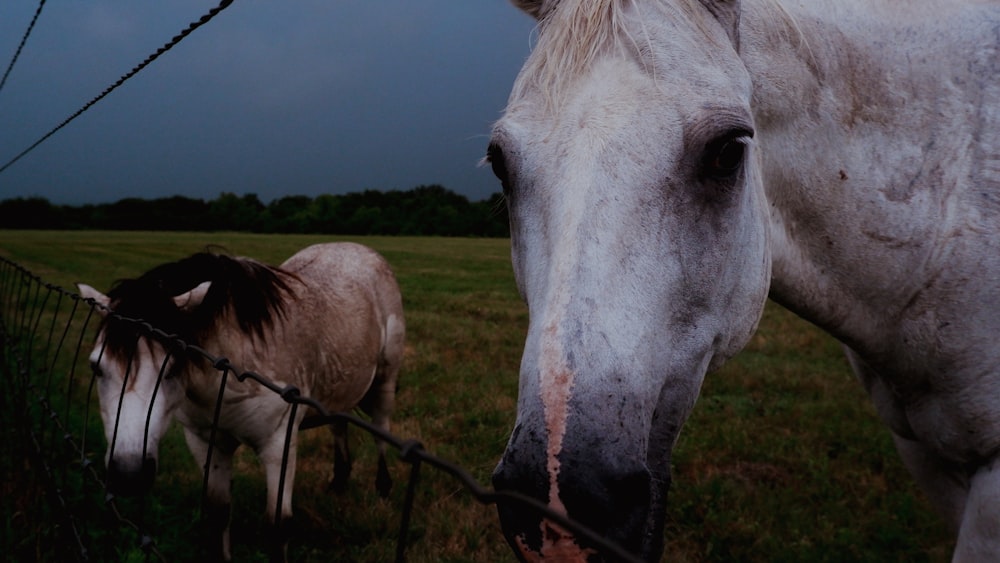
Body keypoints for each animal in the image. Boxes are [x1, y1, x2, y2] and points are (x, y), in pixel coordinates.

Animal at [77, 243, 406, 563]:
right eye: (96, 368)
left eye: (171, 369)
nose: (128, 475)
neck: (233, 369)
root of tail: (359, 250)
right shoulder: (206, 443)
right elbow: (218, 513)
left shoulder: (278, 446)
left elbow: (277, 526)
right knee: (339, 425)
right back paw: (339, 482)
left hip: (385, 382)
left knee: (381, 431)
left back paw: (383, 487)